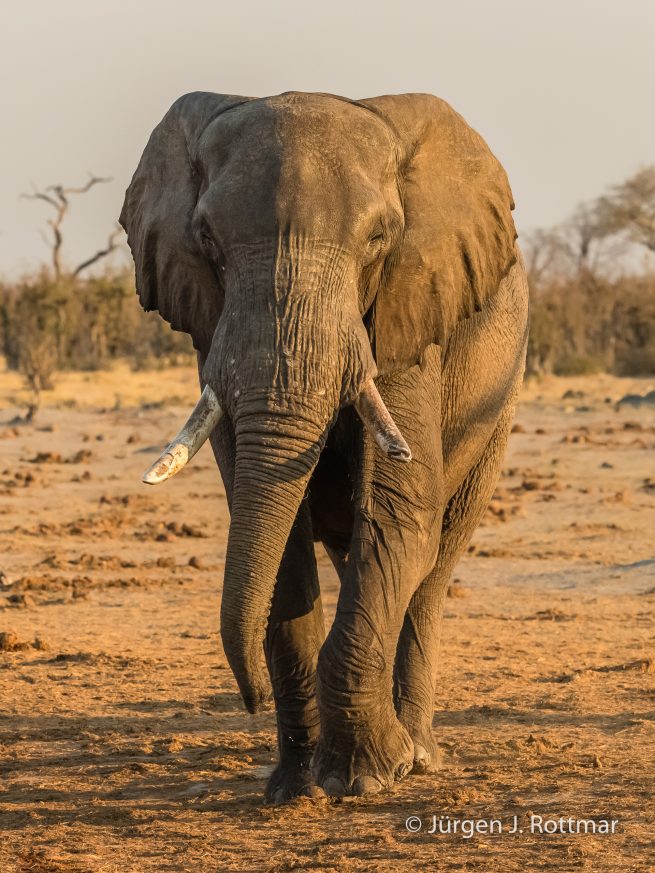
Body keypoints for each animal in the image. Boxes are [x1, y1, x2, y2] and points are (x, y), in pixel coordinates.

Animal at [119, 90, 528, 803]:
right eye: (207, 240)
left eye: (379, 239)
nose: (249, 700)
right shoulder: (212, 333)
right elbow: (273, 535)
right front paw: (295, 788)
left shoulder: (407, 315)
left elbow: (398, 516)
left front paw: (364, 778)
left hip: (498, 406)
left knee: (432, 569)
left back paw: (419, 755)